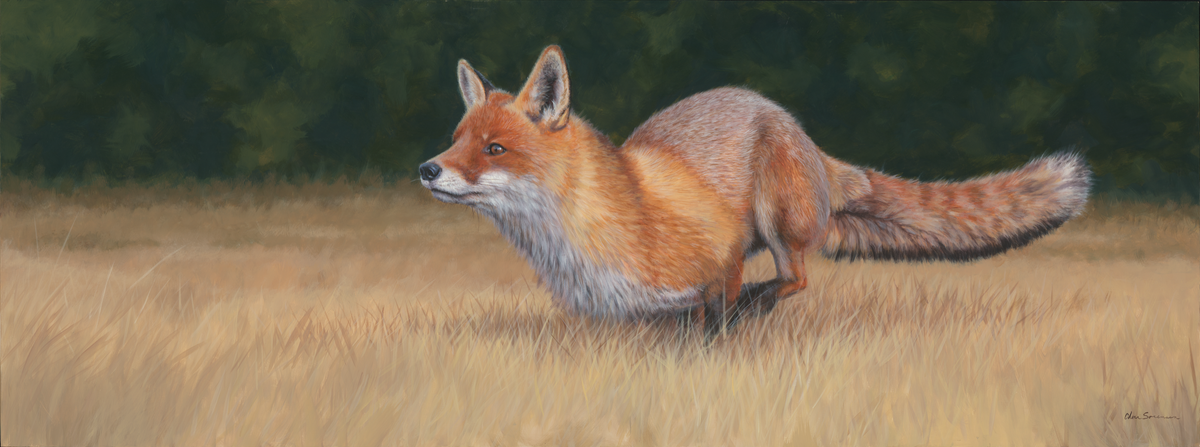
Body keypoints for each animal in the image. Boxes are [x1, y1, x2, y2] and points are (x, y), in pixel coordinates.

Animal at [419, 45, 1091, 331]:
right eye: (455, 140)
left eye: (494, 149)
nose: (427, 168)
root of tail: (803, 135)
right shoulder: (614, 317)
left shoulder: (719, 254)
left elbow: (713, 325)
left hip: (776, 218)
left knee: (795, 278)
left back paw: (760, 304)